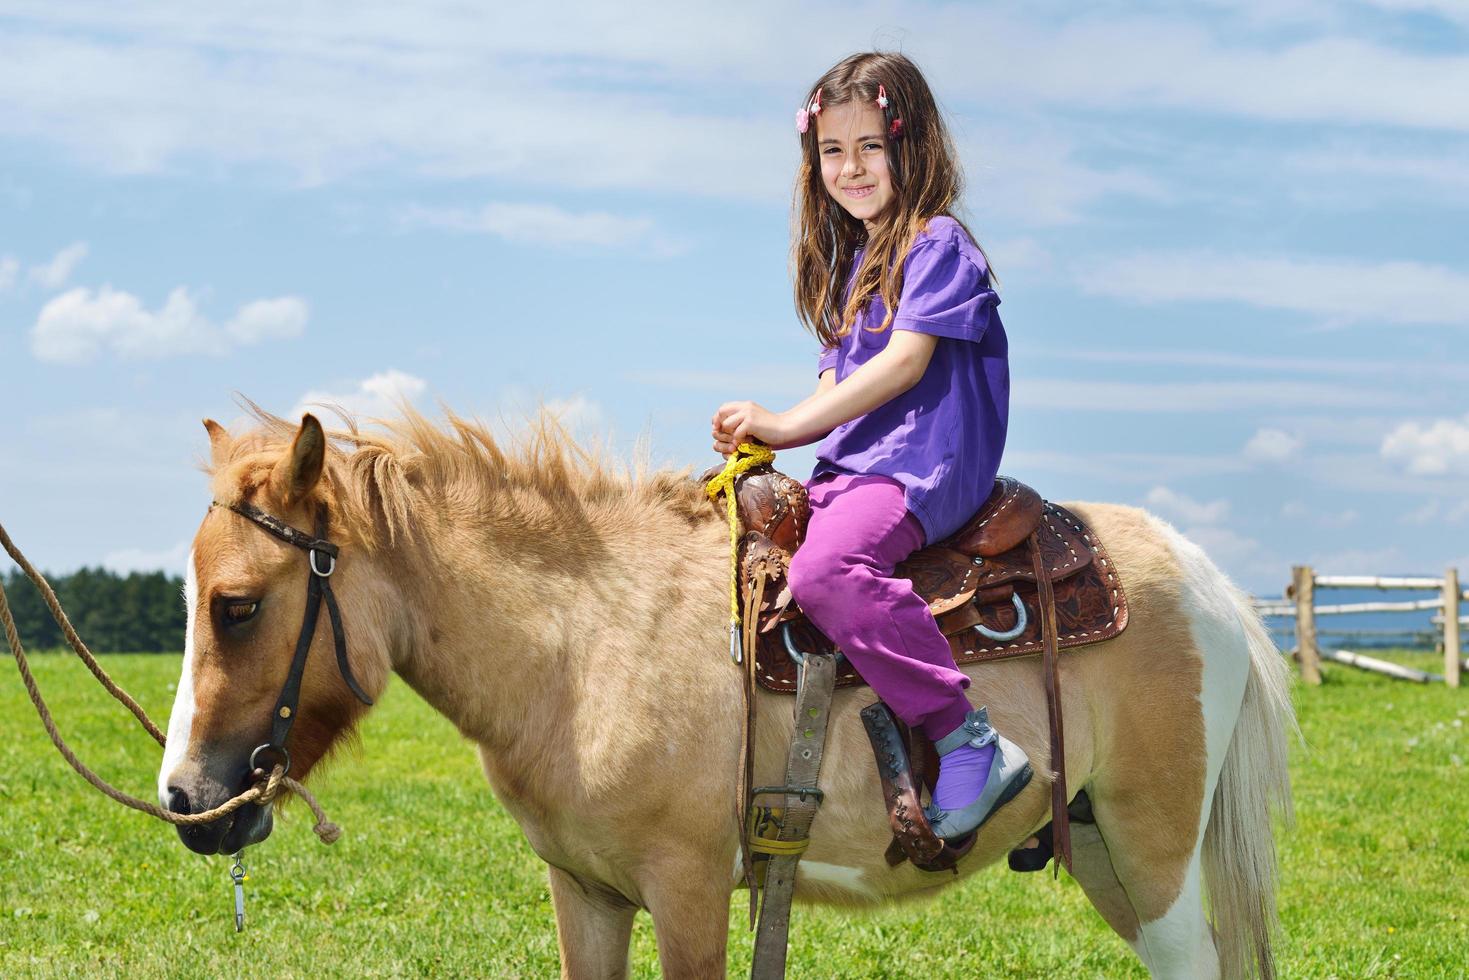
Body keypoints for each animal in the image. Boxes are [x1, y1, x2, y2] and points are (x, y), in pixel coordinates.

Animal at [154, 402, 1292, 975]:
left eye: (239, 606)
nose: (184, 800)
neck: (584, 644)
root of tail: (1206, 578)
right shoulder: (587, 893)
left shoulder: (689, 887)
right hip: (1099, 846)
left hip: (1151, 853)